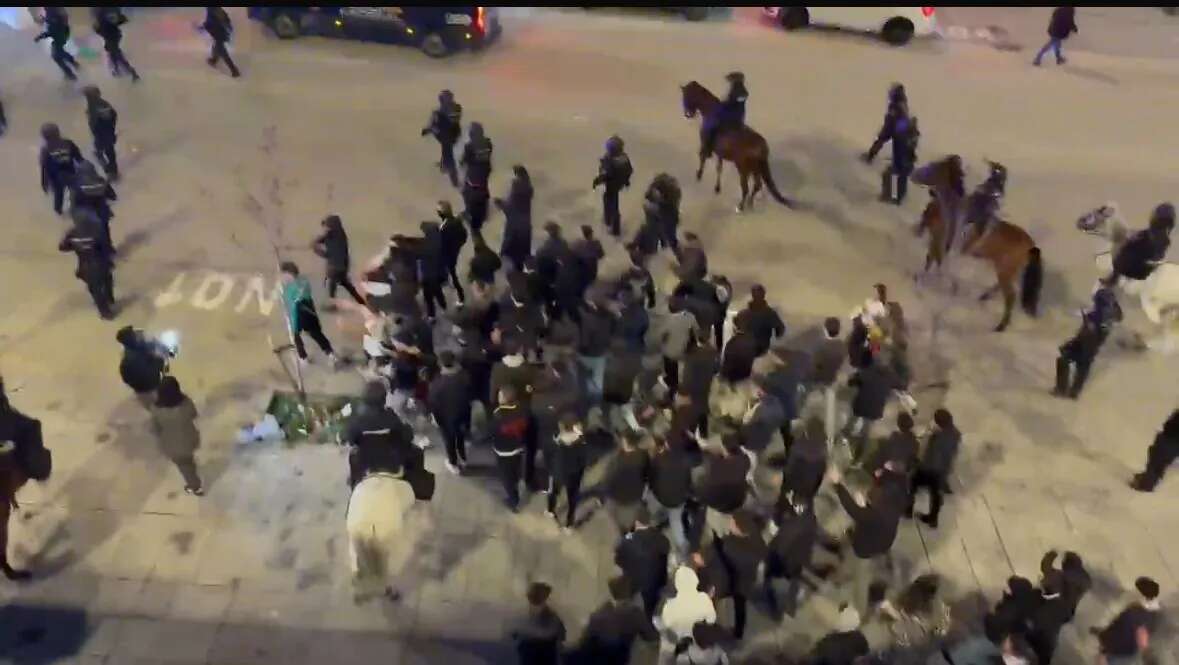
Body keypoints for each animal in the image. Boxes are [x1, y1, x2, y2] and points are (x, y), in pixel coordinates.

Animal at [683, 80, 792, 212]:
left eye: (686, 96)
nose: (687, 114)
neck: (710, 110)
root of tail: (761, 147)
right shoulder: (720, 153)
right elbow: (719, 168)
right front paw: (717, 188)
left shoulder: (705, 144)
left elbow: (702, 157)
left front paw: (699, 175)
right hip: (755, 169)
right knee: (757, 185)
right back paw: (750, 203)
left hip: (743, 169)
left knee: (745, 188)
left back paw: (740, 206)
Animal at [914, 193, 1046, 330]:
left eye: (926, 213)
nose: (918, 229)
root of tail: (1031, 246)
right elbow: (934, 261)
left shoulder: (941, 244)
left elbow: (936, 262)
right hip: (1005, 270)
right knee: (1002, 288)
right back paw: (984, 297)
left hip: (1004, 270)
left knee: (1010, 296)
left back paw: (1001, 326)